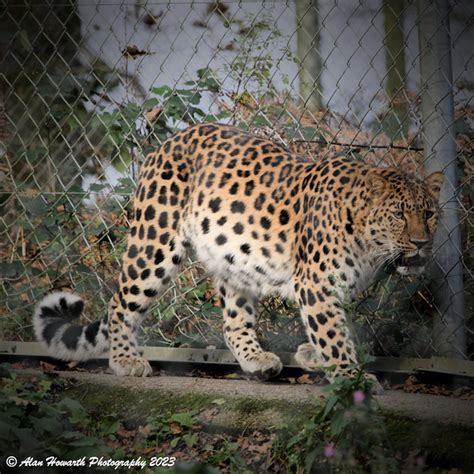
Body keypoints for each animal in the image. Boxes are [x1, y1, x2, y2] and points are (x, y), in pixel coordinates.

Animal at [34, 122, 444, 388]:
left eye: (429, 213)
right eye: (398, 214)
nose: (422, 243)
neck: (369, 245)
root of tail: (168, 141)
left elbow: (335, 330)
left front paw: (312, 356)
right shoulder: (316, 283)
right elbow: (332, 332)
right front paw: (349, 376)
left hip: (236, 260)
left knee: (233, 322)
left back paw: (257, 360)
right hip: (155, 243)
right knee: (121, 302)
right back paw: (125, 361)